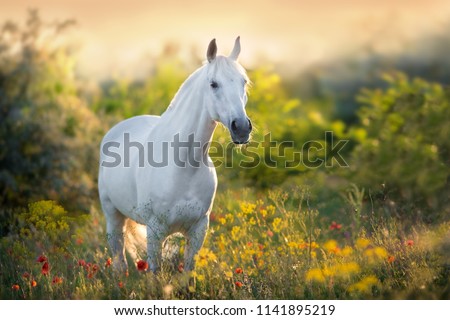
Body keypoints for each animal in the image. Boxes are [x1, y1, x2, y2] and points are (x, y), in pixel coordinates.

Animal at [98, 38, 251, 272]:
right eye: (213, 84)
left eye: (244, 82)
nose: (241, 128)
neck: (185, 166)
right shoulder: (154, 230)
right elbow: (154, 272)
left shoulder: (198, 230)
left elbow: (187, 271)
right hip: (113, 218)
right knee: (119, 261)